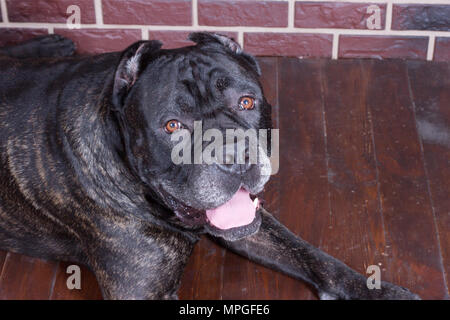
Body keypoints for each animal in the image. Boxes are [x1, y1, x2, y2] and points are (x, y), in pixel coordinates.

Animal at [0, 33, 422, 298]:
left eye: (247, 102)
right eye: (172, 126)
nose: (234, 156)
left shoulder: (251, 222)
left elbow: (314, 256)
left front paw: (380, 292)